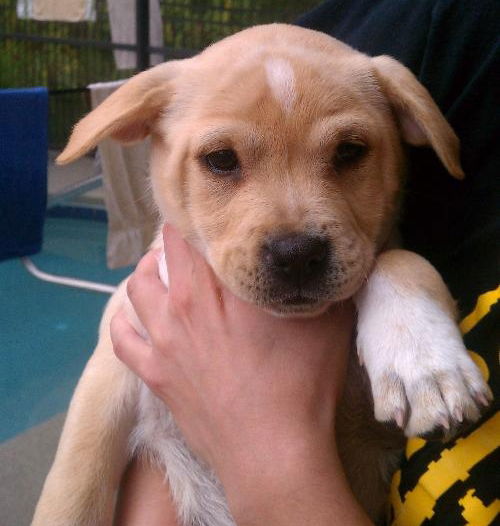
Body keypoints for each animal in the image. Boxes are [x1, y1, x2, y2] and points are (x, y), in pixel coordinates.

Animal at [32, 25, 492, 526]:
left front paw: (425, 365)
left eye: (350, 152)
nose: (297, 256)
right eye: (220, 159)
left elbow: (399, 259)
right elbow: (75, 486)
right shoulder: (111, 369)